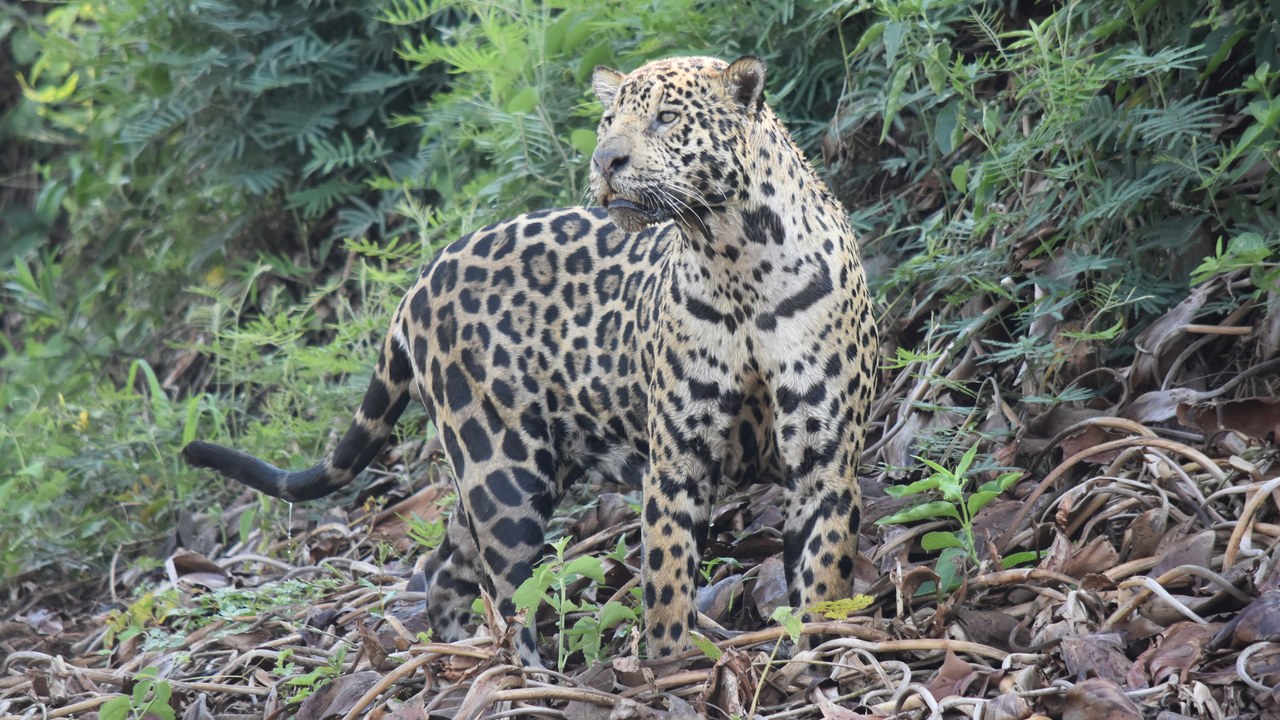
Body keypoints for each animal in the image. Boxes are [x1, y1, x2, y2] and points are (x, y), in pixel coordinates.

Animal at [184, 55, 878, 666]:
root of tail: (418, 281)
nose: (605, 160)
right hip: (502, 473)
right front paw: (670, 664)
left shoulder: (824, 460)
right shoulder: (677, 462)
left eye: (665, 119)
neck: (733, 259)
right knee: (507, 590)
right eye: (608, 122)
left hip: (509, 473)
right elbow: (667, 578)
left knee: (446, 565)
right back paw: (528, 675)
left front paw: (817, 651)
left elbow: (823, 575)